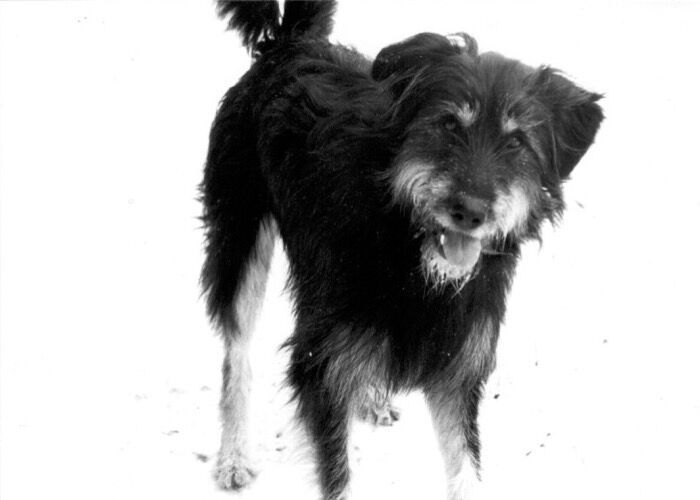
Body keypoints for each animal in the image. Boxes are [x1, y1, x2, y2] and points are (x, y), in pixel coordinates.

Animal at [200, 1, 604, 498]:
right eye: (449, 124)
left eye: (516, 142)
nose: (469, 212)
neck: (408, 253)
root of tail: (292, 41)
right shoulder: (320, 365)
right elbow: (339, 476)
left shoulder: (458, 368)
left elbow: (465, 468)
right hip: (239, 236)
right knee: (236, 352)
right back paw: (234, 455)